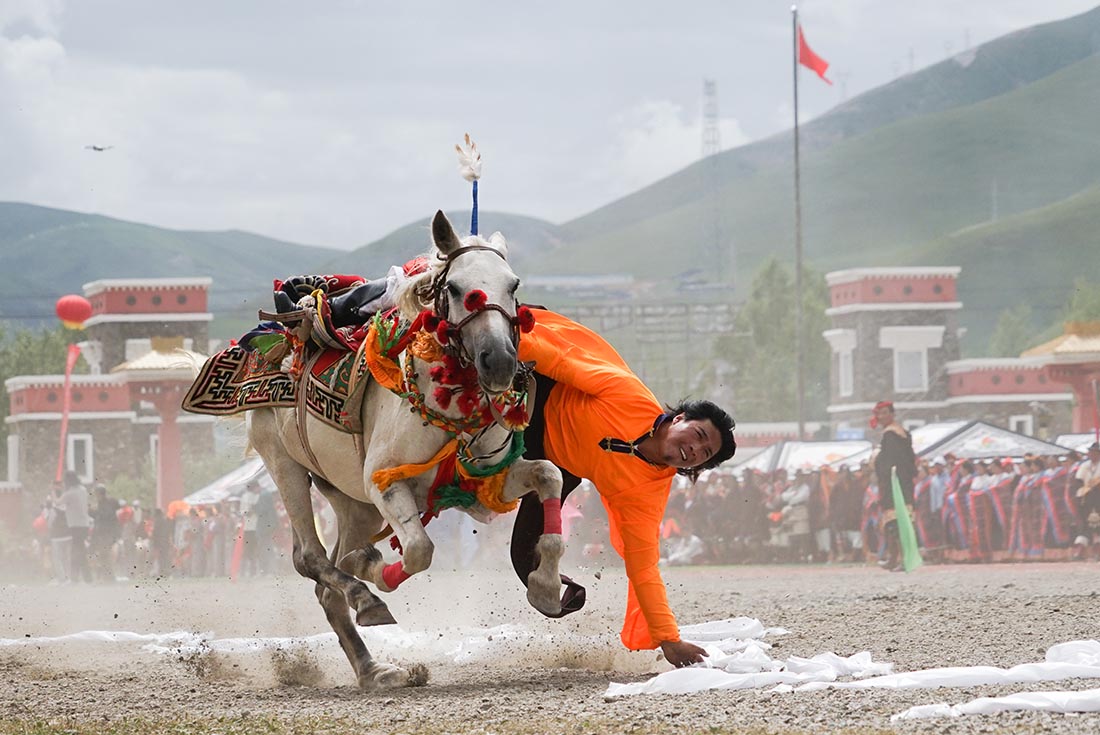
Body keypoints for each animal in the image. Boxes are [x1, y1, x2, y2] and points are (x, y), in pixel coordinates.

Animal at [246, 211, 563, 690]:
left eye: (513, 285)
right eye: (455, 288)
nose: (500, 362)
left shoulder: (484, 480)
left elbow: (549, 474)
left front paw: (545, 585)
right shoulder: (385, 483)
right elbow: (418, 550)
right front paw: (373, 571)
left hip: (354, 503)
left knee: (327, 589)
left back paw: (374, 668)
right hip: (285, 467)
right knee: (310, 559)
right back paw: (365, 596)